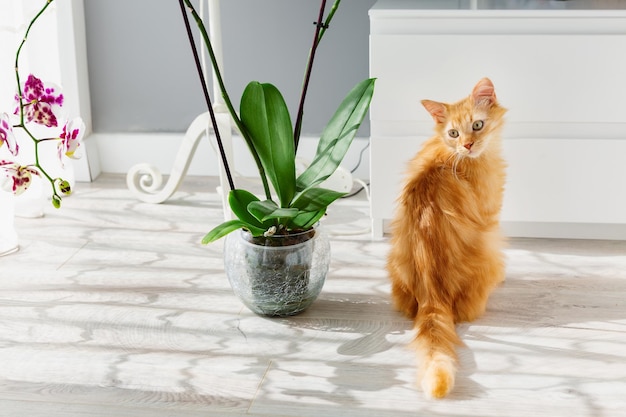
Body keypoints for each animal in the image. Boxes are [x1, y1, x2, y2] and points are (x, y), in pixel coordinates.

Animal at [386, 76, 508, 398]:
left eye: (477, 125)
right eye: (453, 133)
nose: (467, 144)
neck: (450, 154)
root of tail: (431, 290)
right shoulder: (491, 214)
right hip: (492, 245)